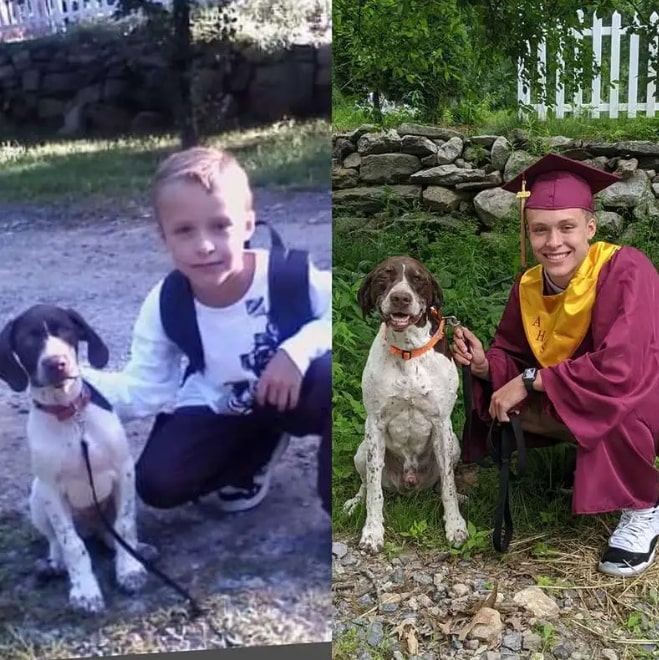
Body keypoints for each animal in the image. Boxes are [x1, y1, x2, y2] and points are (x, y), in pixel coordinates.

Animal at [346, 255, 470, 556]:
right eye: (384, 276)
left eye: (418, 279)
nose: (401, 298)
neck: (408, 350)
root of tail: (409, 485)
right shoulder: (375, 425)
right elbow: (375, 492)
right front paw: (372, 533)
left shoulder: (442, 424)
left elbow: (448, 486)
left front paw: (455, 527)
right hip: (362, 450)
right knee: (366, 484)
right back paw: (355, 502)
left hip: (455, 444)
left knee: (441, 483)